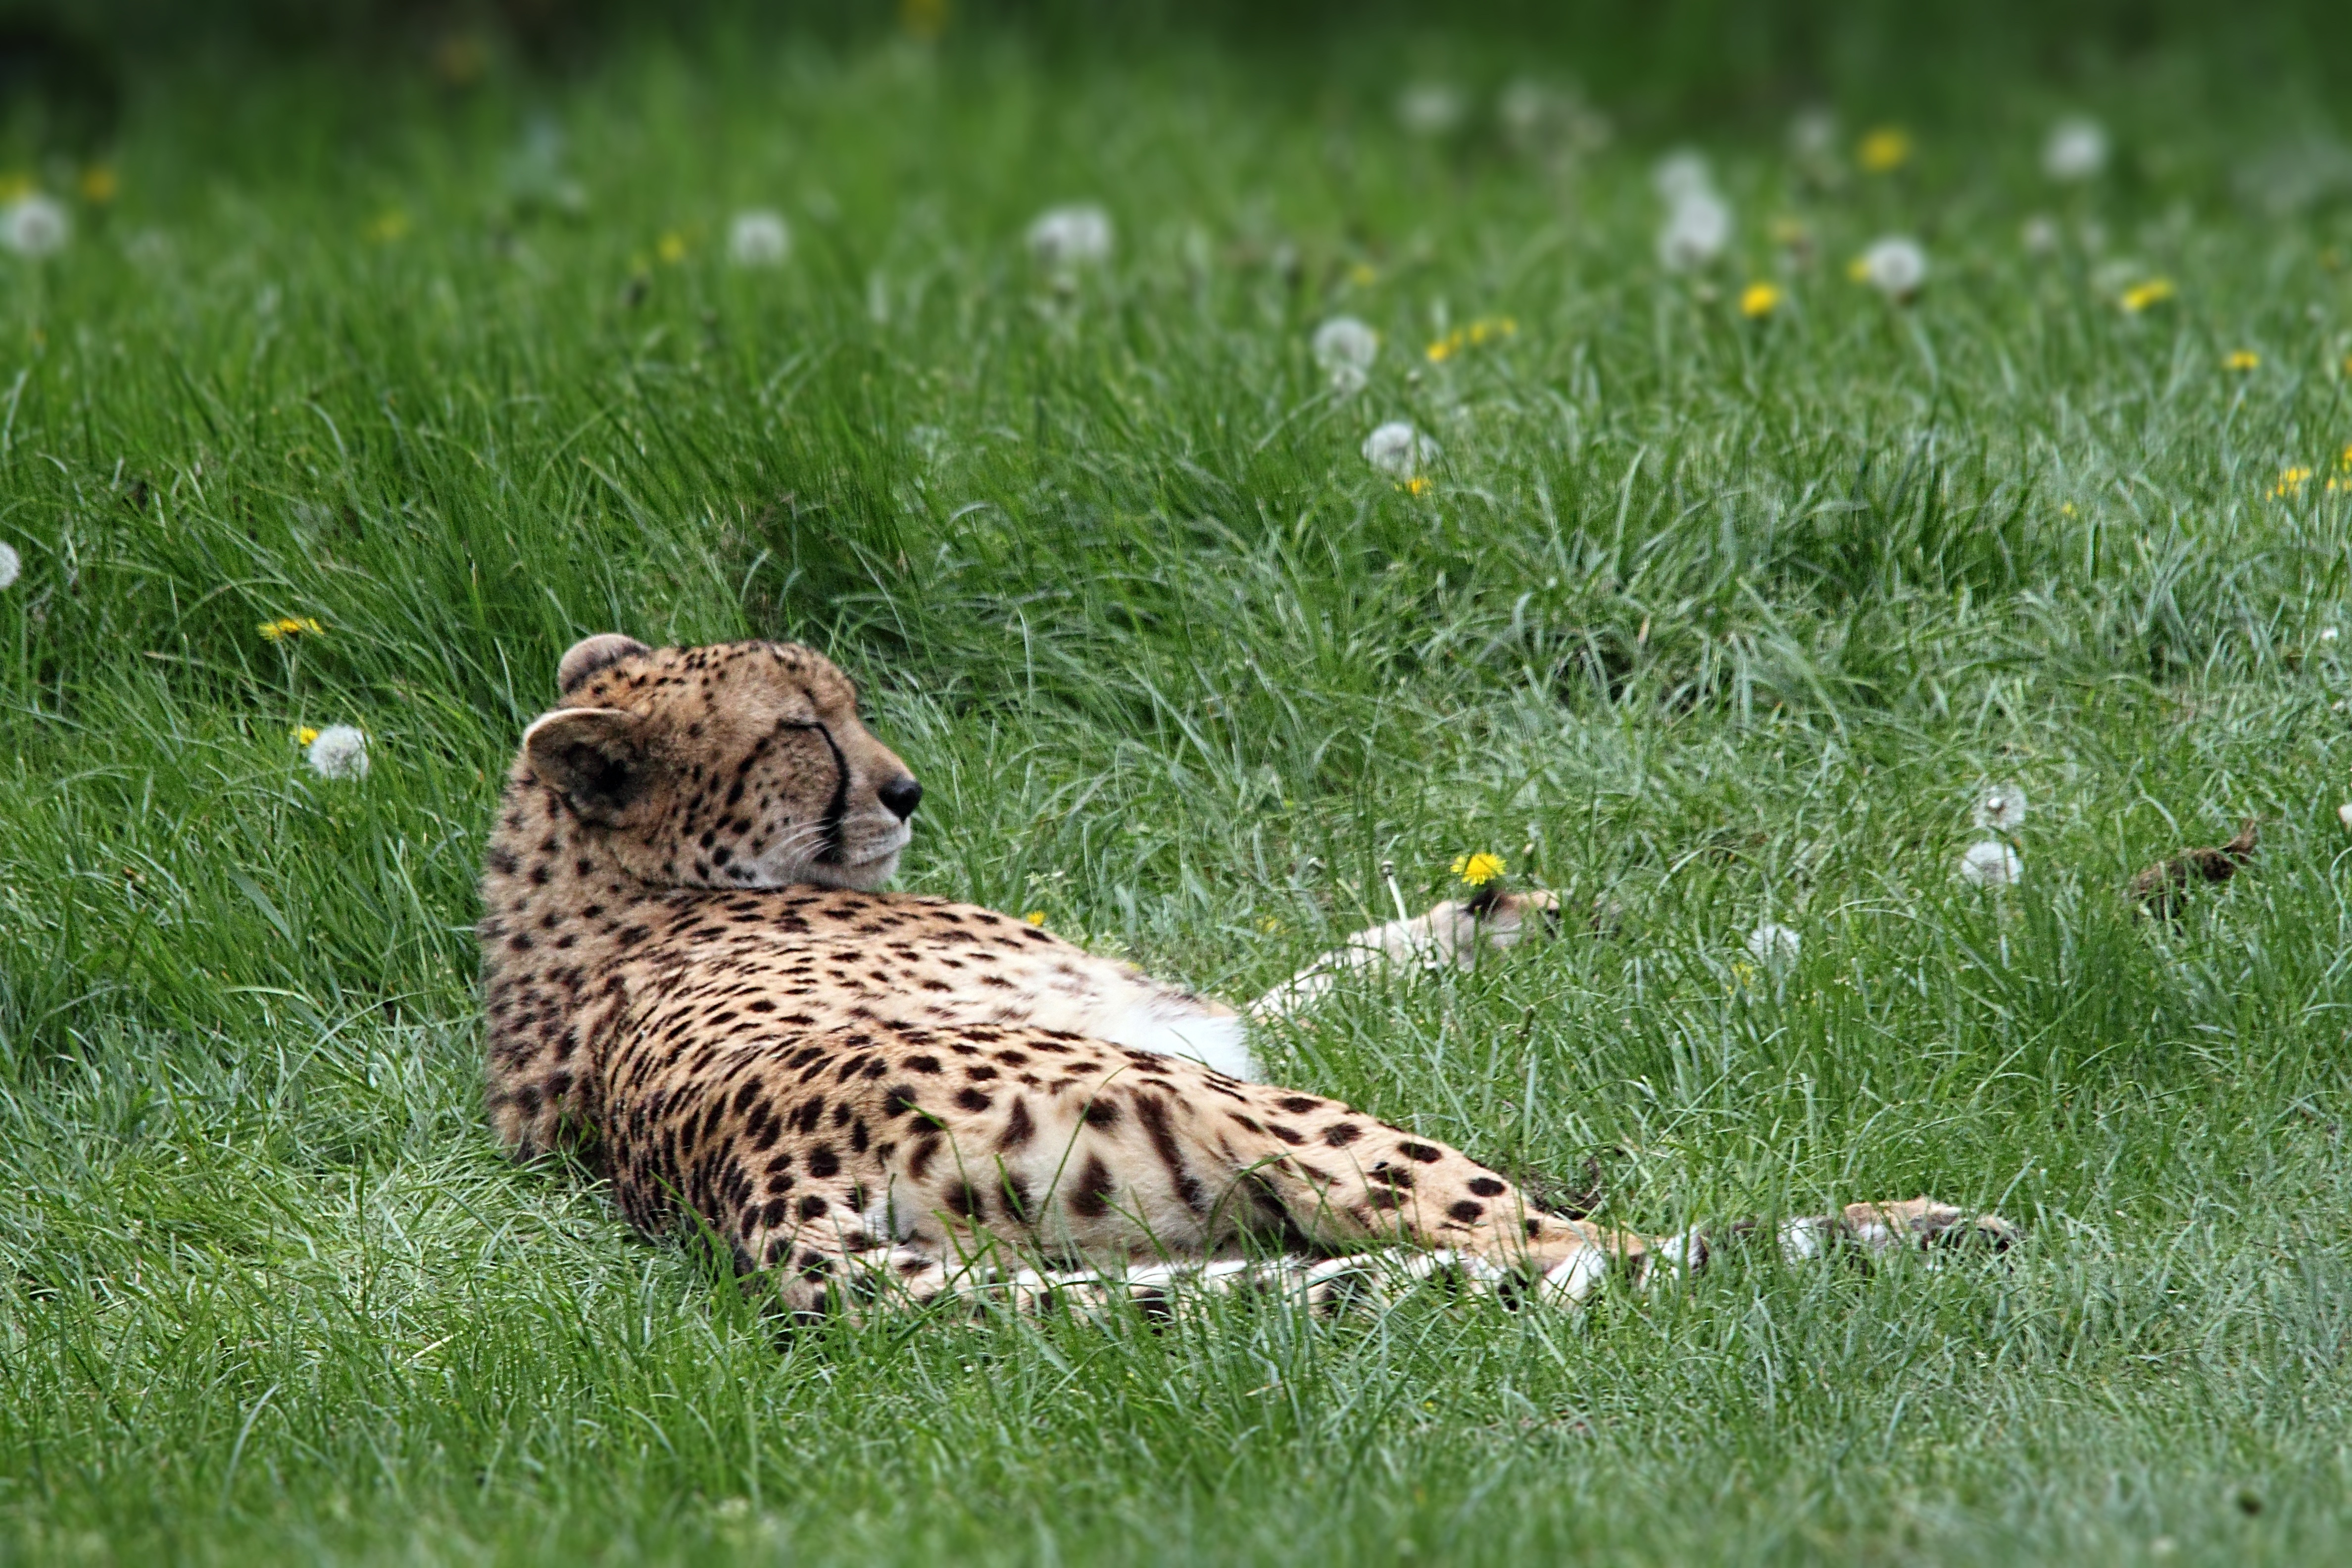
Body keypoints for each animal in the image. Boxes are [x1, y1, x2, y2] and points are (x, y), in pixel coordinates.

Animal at [482, 630, 2022, 1316]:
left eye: (845, 705)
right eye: (802, 730)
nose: (908, 790)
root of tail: (758, 1207)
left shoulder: (1185, 1016)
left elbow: (1319, 969)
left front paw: (1492, 914)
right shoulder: (1179, 1031)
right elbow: (1294, 985)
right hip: (1264, 1121)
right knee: (1562, 1250)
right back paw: (1902, 1230)